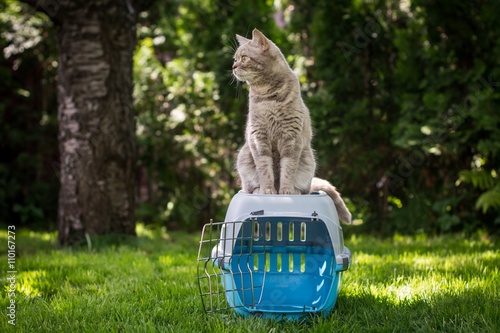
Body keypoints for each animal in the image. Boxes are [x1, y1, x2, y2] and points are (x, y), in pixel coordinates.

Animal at [233, 29, 352, 223]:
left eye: (244, 58)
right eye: (235, 59)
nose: (233, 67)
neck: (268, 97)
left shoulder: (291, 139)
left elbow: (287, 169)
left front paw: (285, 191)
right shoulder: (258, 139)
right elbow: (264, 169)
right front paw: (267, 191)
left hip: (308, 159)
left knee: (304, 189)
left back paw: (295, 190)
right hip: (244, 156)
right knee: (248, 187)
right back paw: (258, 189)